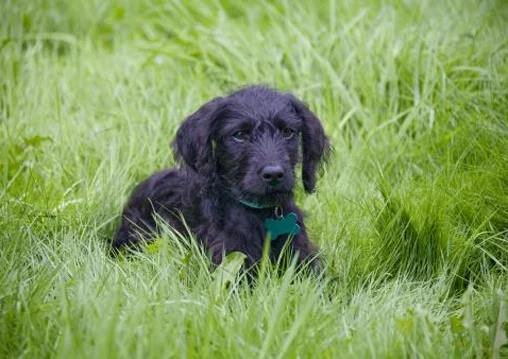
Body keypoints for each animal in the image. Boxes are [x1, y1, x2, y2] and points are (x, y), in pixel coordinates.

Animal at [112, 86, 330, 268]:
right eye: (239, 135)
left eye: (287, 132)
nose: (274, 174)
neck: (259, 212)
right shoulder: (231, 260)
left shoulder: (303, 256)